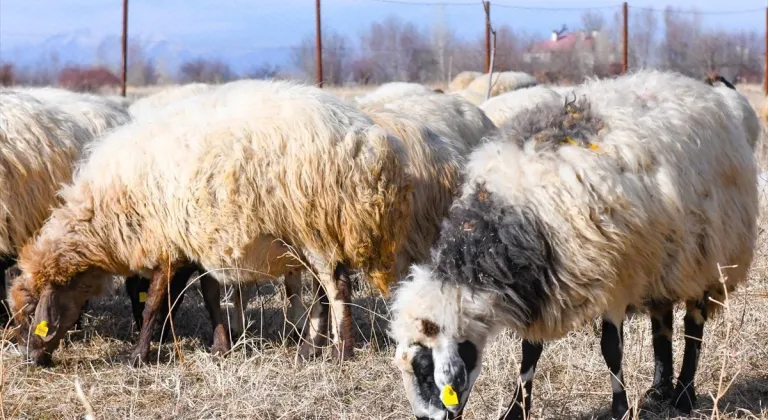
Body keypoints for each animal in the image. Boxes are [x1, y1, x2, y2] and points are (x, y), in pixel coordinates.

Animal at [7, 79, 414, 368]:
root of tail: (372, 142)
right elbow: (209, 297)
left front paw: (139, 356)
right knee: (322, 291)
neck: (106, 216)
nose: (29, 360)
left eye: (32, 311)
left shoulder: (169, 244)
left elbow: (155, 304)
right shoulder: (197, 244)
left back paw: (341, 352)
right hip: (314, 232)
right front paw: (221, 346)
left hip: (314, 224)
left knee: (337, 287)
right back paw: (309, 349)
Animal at [388, 69, 760, 420]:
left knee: (693, 326)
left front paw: (620, 409)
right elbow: (530, 351)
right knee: (662, 321)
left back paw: (683, 394)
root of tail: (694, 88)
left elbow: (611, 348)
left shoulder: (615, 280)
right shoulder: (543, 283)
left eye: (424, 369)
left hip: (709, 252)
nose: (425, 418)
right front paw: (516, 410)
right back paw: (659, 389)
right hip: (663, 256)